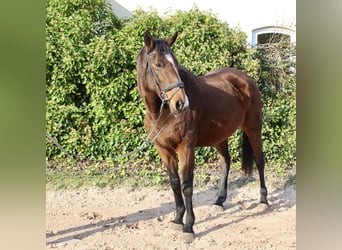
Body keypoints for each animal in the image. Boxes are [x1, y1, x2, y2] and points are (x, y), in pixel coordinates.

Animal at [136, 30, 268, 241]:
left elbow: (187, 186)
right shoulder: (164, 149)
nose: (181, 103)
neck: (162, 113)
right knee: (226, 161)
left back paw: (263, 200)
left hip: (253, 127)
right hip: (220, 136)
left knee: (259, 160)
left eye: (175, 62)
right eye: (158, 64)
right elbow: (175, 184)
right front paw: (177, 219)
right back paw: (219, 201)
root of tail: (245, 78)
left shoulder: (186, 147)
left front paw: (188, 227)